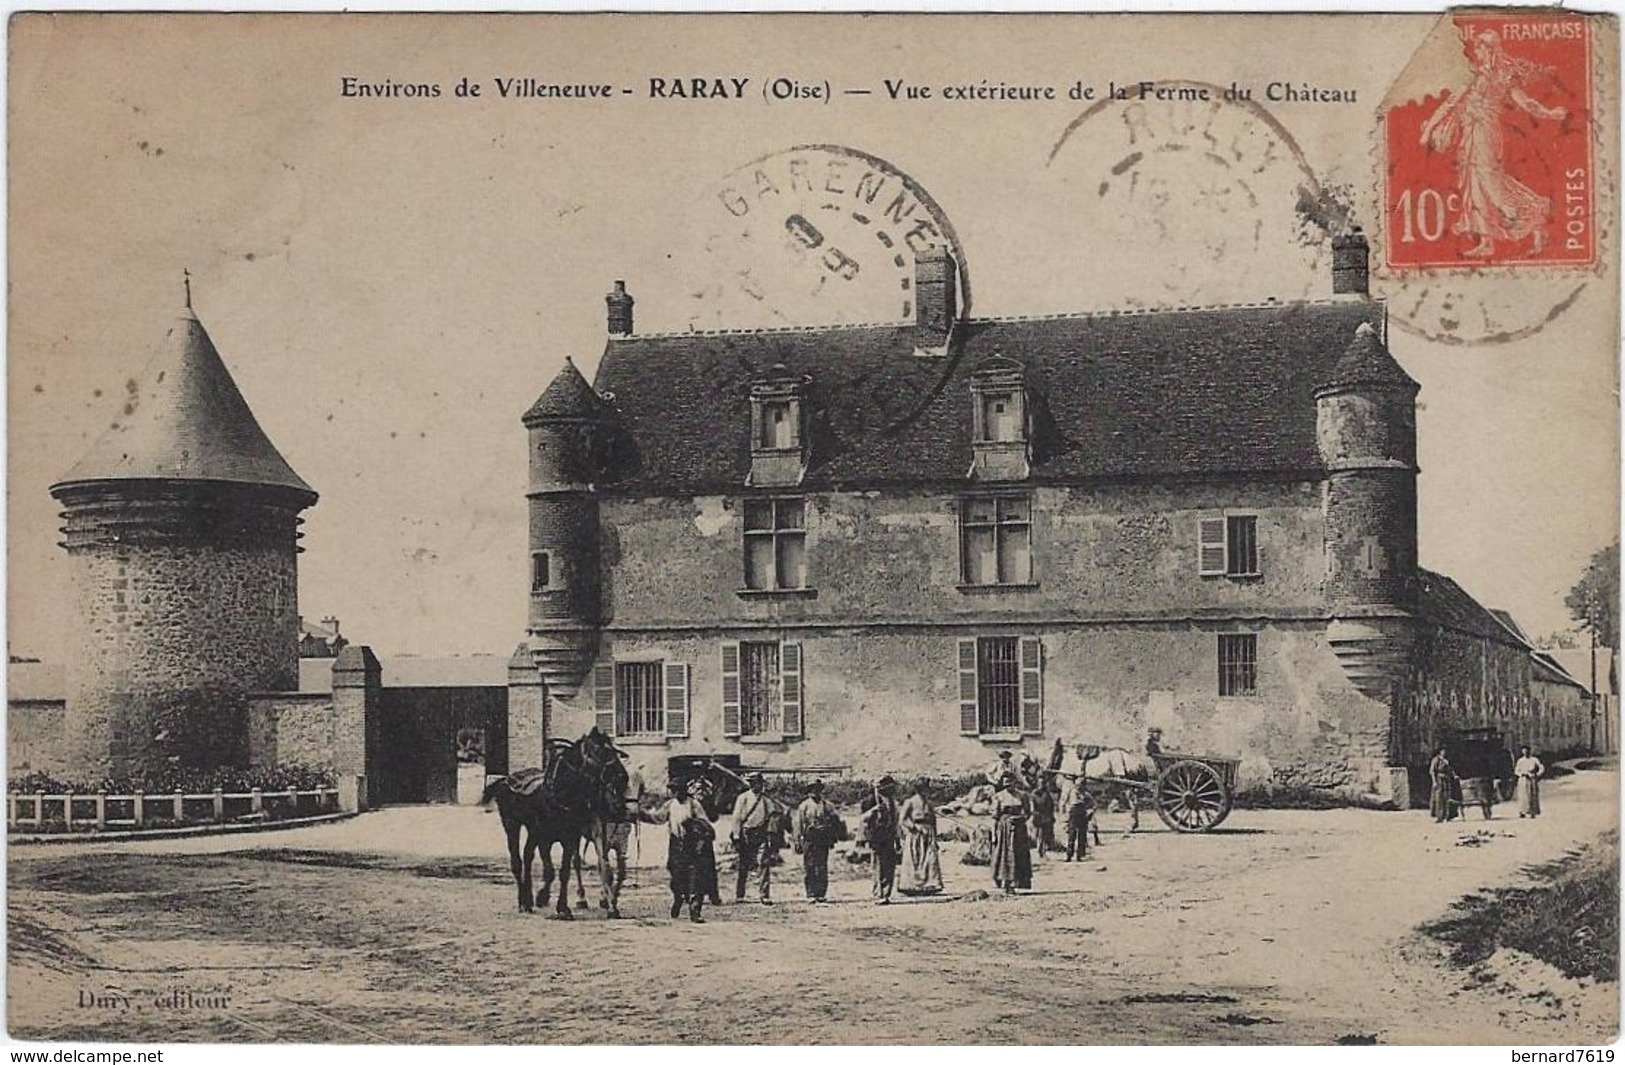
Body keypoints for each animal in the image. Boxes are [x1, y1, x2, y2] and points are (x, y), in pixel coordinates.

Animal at [477, 728, 624, 923]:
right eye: (599, 750)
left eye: (612, 748)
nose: (622, 777)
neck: (561, 795)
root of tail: (506, 779)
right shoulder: (544, 839)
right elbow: (549, 871)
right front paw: (544, 898)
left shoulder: (570, 838)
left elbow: (564, 872)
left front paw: (562, 908)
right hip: (511, 825)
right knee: (517, 861)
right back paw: (523, 902)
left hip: (532, 831)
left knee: (528, 855)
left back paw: (528, 899)